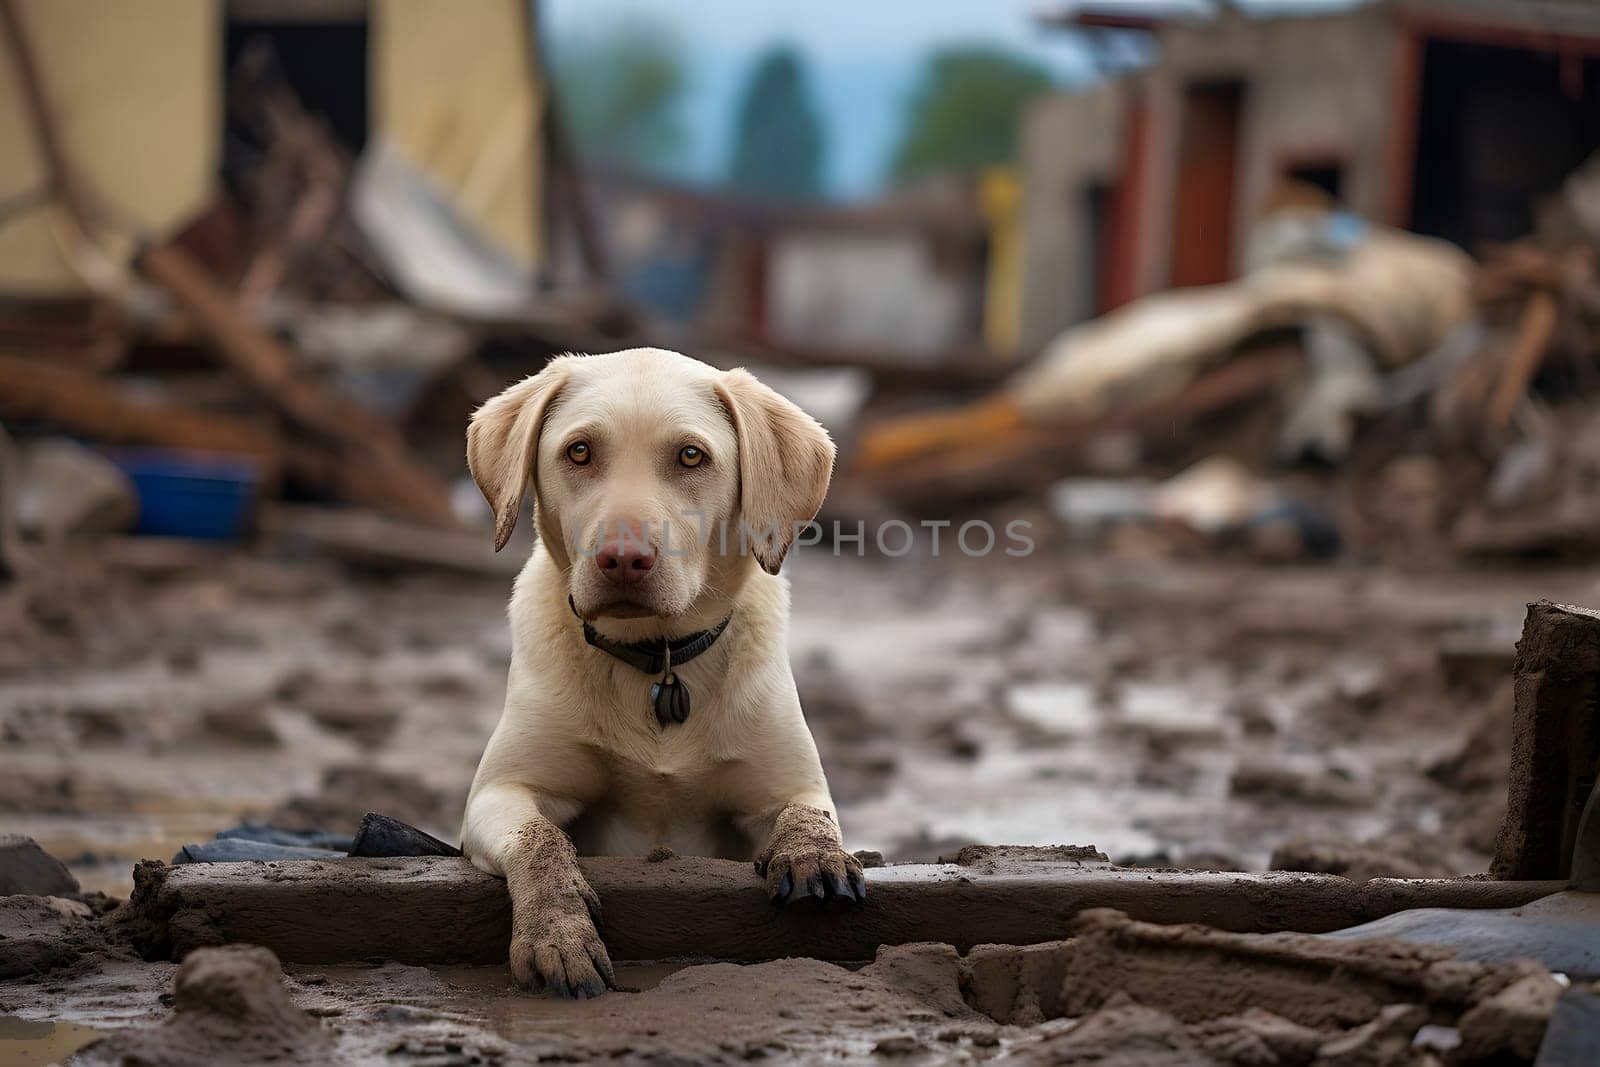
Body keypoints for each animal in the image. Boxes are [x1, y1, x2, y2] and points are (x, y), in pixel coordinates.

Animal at [464, 347, 864, 998]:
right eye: (579, 451)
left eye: (691, 456)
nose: (623, 559)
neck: (660, 661)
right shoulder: (499, 793)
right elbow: (541, 841)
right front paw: (557, 931)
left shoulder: (788, 785)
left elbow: (810, 814)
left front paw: (815, 855)